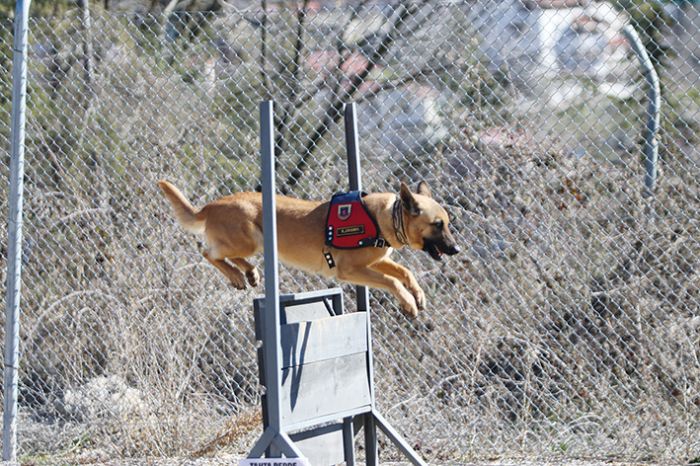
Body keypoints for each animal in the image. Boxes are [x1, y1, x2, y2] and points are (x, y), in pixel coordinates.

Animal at [157, 178, 460, 316]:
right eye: (437, 224)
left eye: (446, 223)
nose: (456, 250)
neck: (382, 217)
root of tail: (210, 205)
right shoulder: (351, 270)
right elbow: (391, 281)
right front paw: (408, 303)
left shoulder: (374, 261)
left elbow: (405, 272)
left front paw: (418, 295)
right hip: (248, 239)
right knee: (207, 252)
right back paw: (236, 275)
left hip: (254, 243)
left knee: (230, 257)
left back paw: (249, 273)